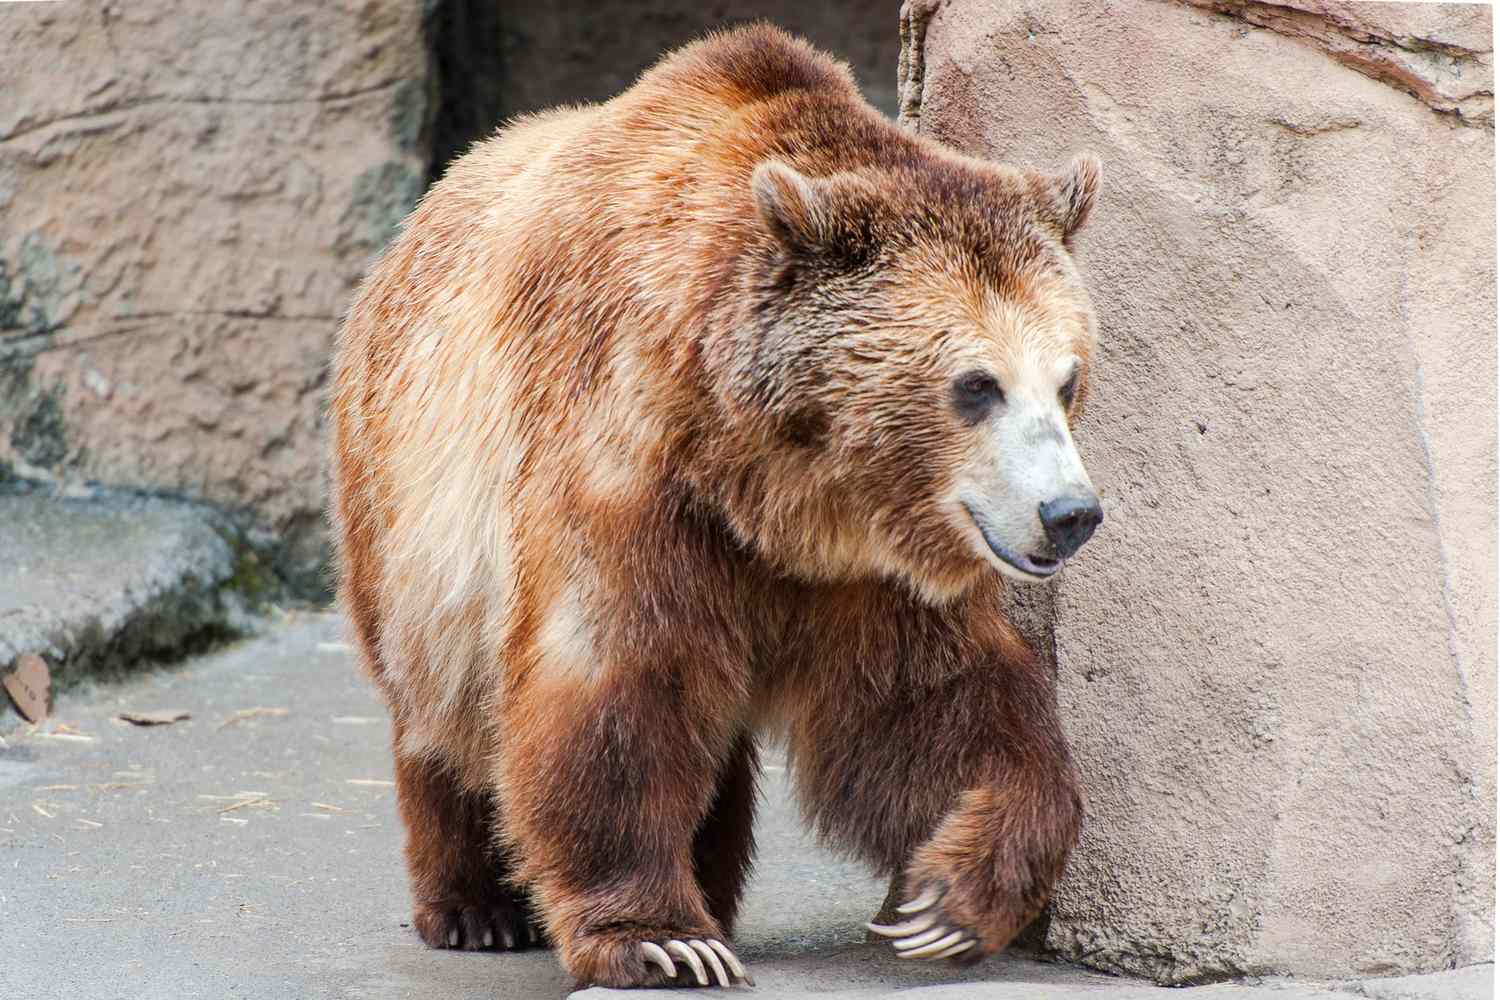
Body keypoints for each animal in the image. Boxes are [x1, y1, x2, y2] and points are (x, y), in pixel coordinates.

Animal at [329, 23, 1104, 990]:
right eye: (977, 386)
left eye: (1066, 379)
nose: (1070, 513)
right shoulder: (623, 467)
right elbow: (614, 681)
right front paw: (658, 937)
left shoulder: (867, 571)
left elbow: (931, 701)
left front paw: (947, 899)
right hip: (407, 500)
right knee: (443, 704)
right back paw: (477, 907)